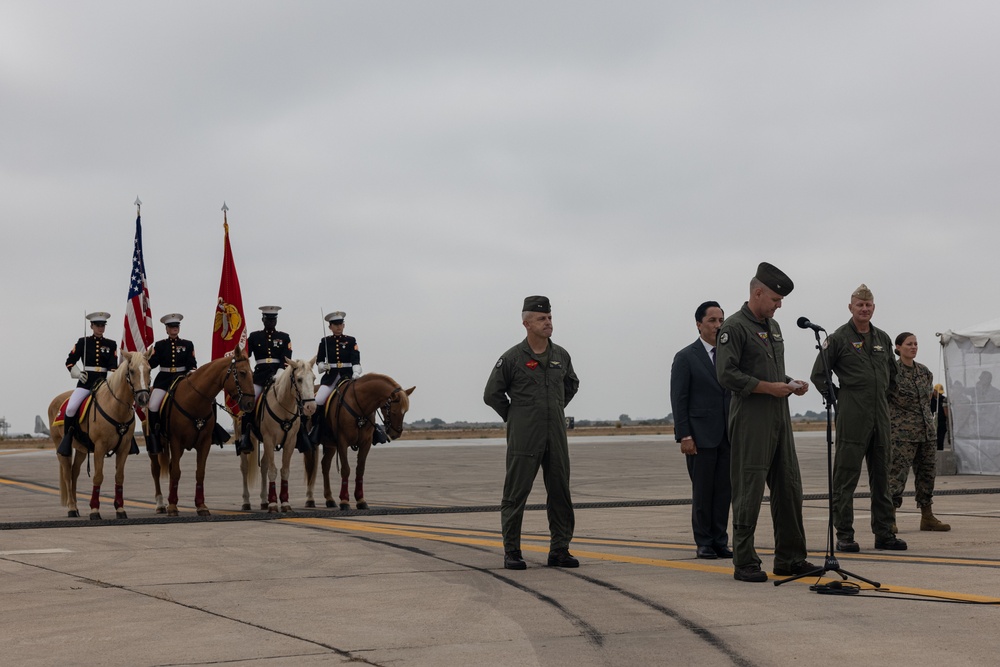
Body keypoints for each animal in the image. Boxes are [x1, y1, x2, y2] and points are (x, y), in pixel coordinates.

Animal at [47, 350, 152, 520]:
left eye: (149, 370)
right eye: (131, 371)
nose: (143, 398)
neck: (116, 407)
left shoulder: (123, 448)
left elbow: (119, 476)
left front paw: (120, 508)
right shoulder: (100, 448)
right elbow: (98, 476)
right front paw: (94, 510)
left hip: (82, 450)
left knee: (74, 473)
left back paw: (76, 507)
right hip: (61, 447)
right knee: (67, 474)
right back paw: (71, 508)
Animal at [151, 350, 256, 516]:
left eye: (252, 373)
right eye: (242, 373)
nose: (250, 404)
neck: (194, 400)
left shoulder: (204, 443)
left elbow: (199, 472)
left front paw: (201, 505)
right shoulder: (176, 442)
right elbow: (176, 472)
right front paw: (173, 506)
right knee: (156, 470)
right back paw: (161, 504)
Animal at [240, 358, 318, 516]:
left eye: (313, 378)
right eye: (299, 379)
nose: (311, 408)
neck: (283, 405)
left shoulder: (290, 442)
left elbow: (284, 471)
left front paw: (285, 503)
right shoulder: (269, 440)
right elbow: (273, 471)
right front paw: (273, 504)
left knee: (263, 465)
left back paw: (264, 501)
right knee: (245, 468)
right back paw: (246, 501)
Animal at [304, 376, 414, 512]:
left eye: (405, 412)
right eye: (393, 411)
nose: (395, 434)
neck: (359, 406)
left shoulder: (365, 443)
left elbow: (360, 470)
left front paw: (361, 500)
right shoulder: (342, 442)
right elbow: (346, 469)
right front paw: (344, 500)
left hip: (330, 446)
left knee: (325, 465)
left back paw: (329, 499)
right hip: (312, 445)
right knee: (310, 468)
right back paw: (310, 499)